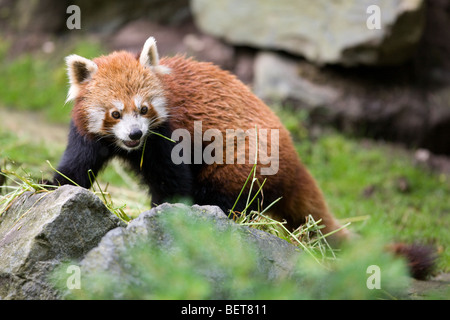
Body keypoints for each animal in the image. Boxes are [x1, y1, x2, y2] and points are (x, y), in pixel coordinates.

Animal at [50, 35, 352, 242]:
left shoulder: (168, 137)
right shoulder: (87, 135)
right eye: (115, 113)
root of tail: (296, 161)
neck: (131, 147)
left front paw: (161, 214)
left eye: (144, 109)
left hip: (244, 162)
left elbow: (173, 183)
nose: (135, 133)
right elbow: (75, 167)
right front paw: (49, 187)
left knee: (227, 195)